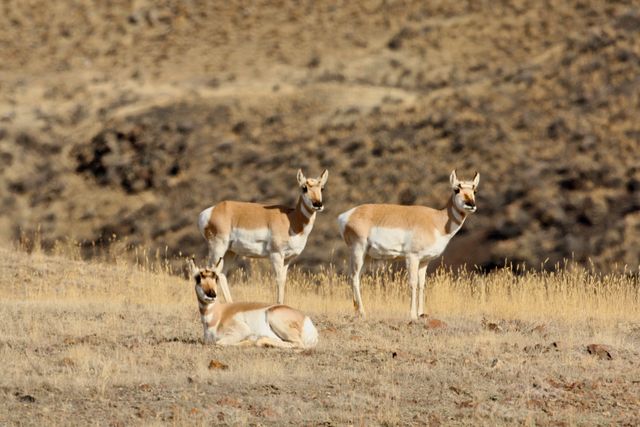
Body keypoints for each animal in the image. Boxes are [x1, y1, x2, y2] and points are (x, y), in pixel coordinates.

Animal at [189, 260, 320, 348]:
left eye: (215, 278)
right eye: (198, 278)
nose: (211, 295)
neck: (219, 314)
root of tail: (306, 319)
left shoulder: (241, 331)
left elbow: (220, 343)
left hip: (275, 319)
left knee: (298, 344)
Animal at [199, 168, 330, 304]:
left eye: (322, 188)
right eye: (304, 187)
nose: (318, 204)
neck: (291, 219)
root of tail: (211, 211)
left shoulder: (287, 259)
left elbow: (283, 280)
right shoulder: (276, 255)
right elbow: (279, 280)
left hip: (230, 252)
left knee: (222, 273)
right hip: (217, 248)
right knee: (211, 270)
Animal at [338, 171, 478, 320]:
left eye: (474, 190)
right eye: (456, 189)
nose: (471, 205)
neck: (436, 221)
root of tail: (347, 215)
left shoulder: (424, 261)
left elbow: (421, 284)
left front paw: (421, 313)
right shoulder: (412, 257)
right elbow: (413, 283)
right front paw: (413, 315)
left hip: (367, 257)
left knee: (356, 277)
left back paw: (357, 311)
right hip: (358, 251)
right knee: (354, 277)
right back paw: (363, 312)